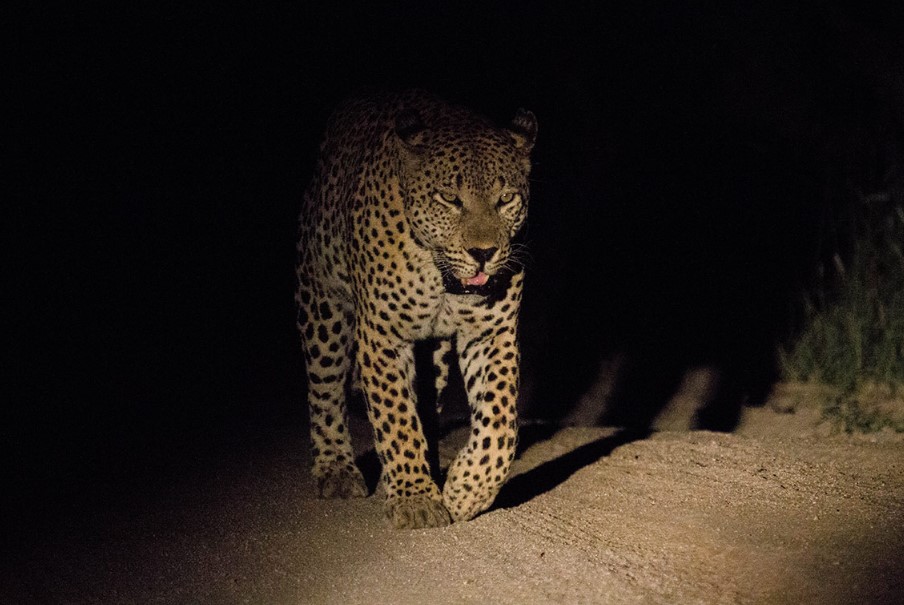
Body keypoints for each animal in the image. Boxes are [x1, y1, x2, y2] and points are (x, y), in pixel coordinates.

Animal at [295, 90, 537, 529]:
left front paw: (465, 490)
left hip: (434, 355)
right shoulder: (382, 335)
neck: (441, 279)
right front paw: (415, 498)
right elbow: (395, 416)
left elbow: (500, 422)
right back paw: (336, 469)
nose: (483, 253)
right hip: (323, 304)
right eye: (450, 199)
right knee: (324, 389)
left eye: (506, 199)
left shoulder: (492, 332)